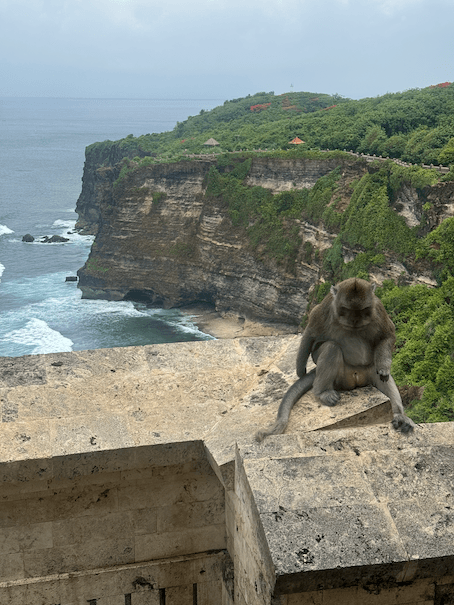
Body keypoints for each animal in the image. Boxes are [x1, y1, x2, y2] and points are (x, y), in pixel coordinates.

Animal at [255, 276, 414, 442]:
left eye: (362, 310)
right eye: (348, 309)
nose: (355, 320)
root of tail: (356, 378)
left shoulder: (378, 310)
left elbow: (387, 335)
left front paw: (383, 367)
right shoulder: (325, 309)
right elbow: (310, 333)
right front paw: (300, 371)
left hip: (368, 372)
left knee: (381, 377)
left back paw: (399, 416)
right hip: (341, 378)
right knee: (331, 347)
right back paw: (323, 392)